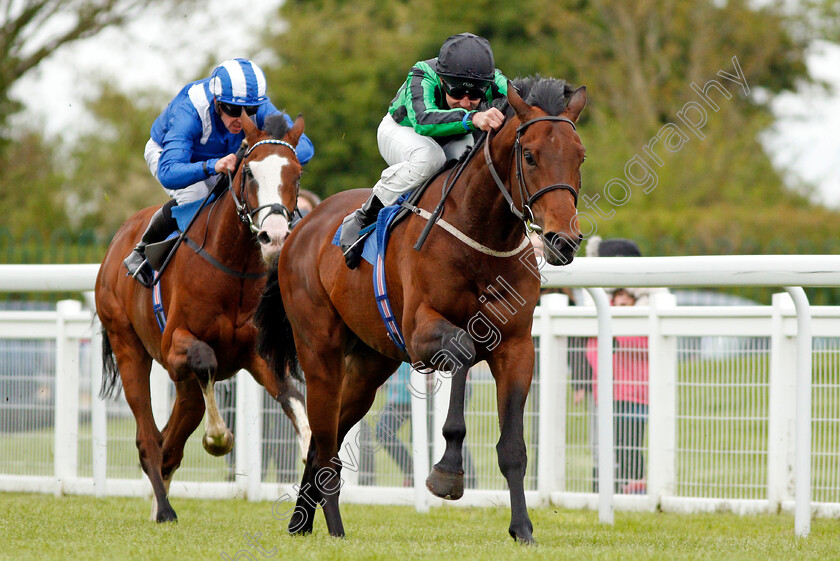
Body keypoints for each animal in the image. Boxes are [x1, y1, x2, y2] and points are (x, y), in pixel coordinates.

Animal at [95, 111, 312, 524]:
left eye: (296, 174)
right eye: (249, 173)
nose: (274, 236)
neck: (234, 268)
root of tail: (116, 242)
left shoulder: (259, 354)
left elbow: (295, 402)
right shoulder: (177, 345)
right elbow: (206, 359)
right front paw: (217, 438)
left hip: (181, 384)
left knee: (171, 439)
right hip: (129, 345)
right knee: (148, 437)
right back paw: (164, 509)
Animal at [256, 76, 584, 540]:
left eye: (579, 156)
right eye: (530, 155)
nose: (563, 241)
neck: (480, 234)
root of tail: (299, 227)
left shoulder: (517, 347)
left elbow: (513, 447)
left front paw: (522, 528)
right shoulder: (420, 331)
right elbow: (463, 350)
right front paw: (447, 474)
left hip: (369, 367)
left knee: (327, 442)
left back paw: (306, 523)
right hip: (320, 354)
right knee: (323, 438)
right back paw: (327, 528)